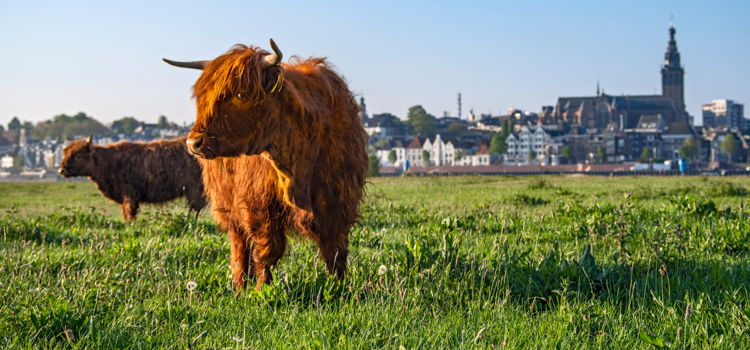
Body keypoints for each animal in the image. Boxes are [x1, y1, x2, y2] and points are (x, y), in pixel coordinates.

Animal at [58, 137, 207, 221]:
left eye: (77, 155)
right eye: (65, 153)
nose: (61, 170)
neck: (108, 162)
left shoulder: (130, 195)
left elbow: (130, 213)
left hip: (195, 189)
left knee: (195, 209)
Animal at [167, 39, 374, 290]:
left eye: (241, 94)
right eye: (203, 98)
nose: (194, 142)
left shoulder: (338, 201)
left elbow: (335, 250)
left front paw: (340, 286)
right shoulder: (260, 206)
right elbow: (268, 251)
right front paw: (261, 290)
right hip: (228, 205)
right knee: (239, 246)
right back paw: (239, 286)